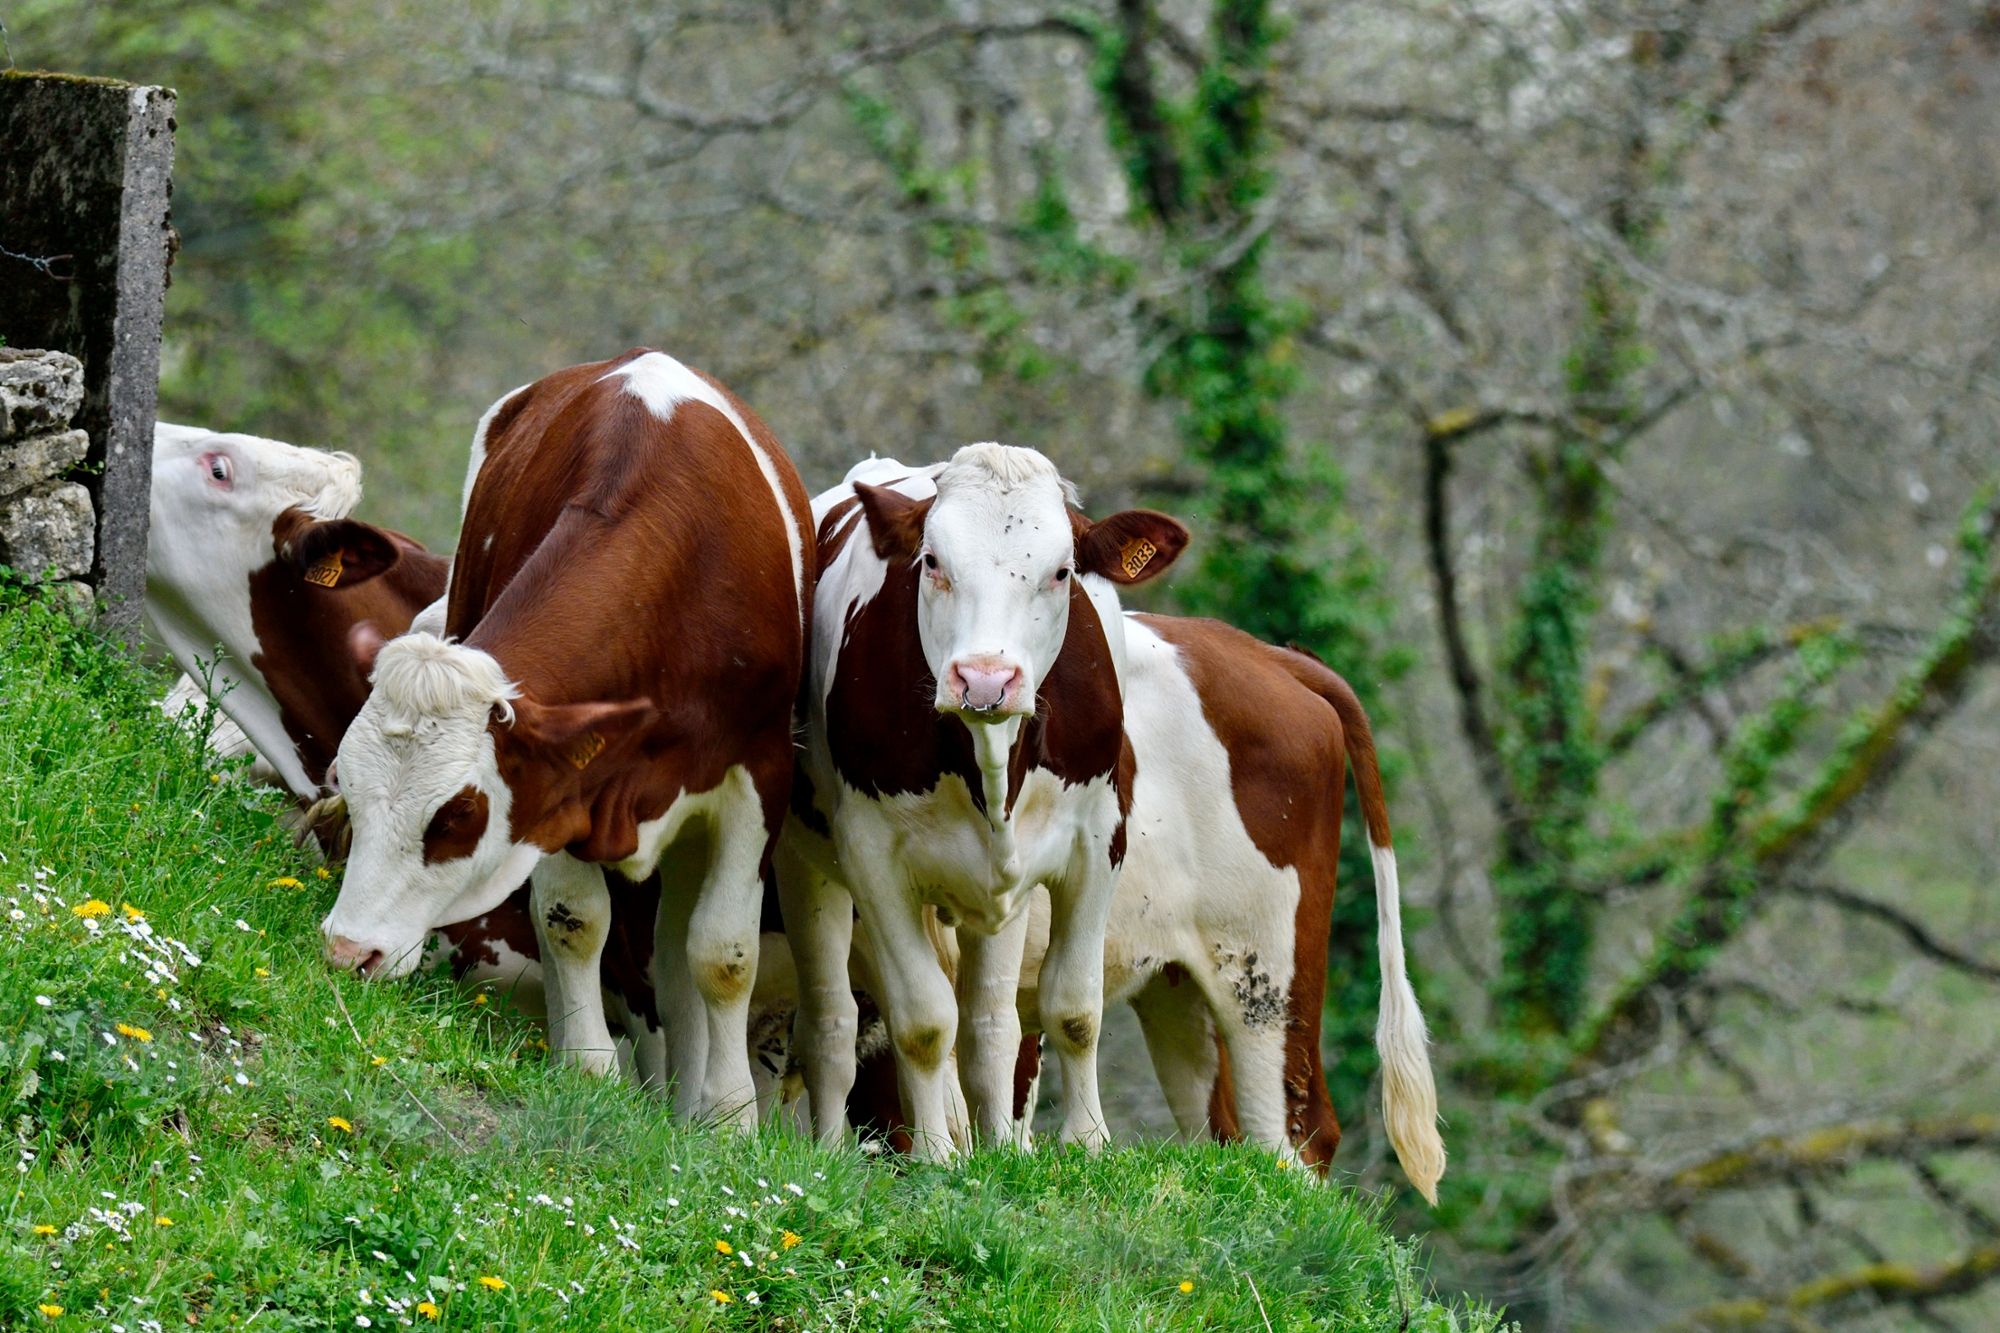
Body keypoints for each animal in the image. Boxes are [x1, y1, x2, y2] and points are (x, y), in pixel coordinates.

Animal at [318, 350, 812, 1126]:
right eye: (350, 788)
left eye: (457, 814)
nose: (348, 952)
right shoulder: (564, 784)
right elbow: (573, 918)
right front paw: (587, 1071)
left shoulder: (760, 771)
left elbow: (725, 952)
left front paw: (727, 1117)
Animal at [779, 445, 1189, 1159]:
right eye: (932, 562)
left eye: (1061, 572)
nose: (986, 679)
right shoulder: (872, 859)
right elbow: (922, 1021)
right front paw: (937, 1157)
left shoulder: (1097, 842)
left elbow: (1072, 1008)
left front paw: (1085, 1146)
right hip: (806, 866)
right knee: (831, 1020)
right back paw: (832, 1146)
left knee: (991, 1022)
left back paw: (1000, 1144)